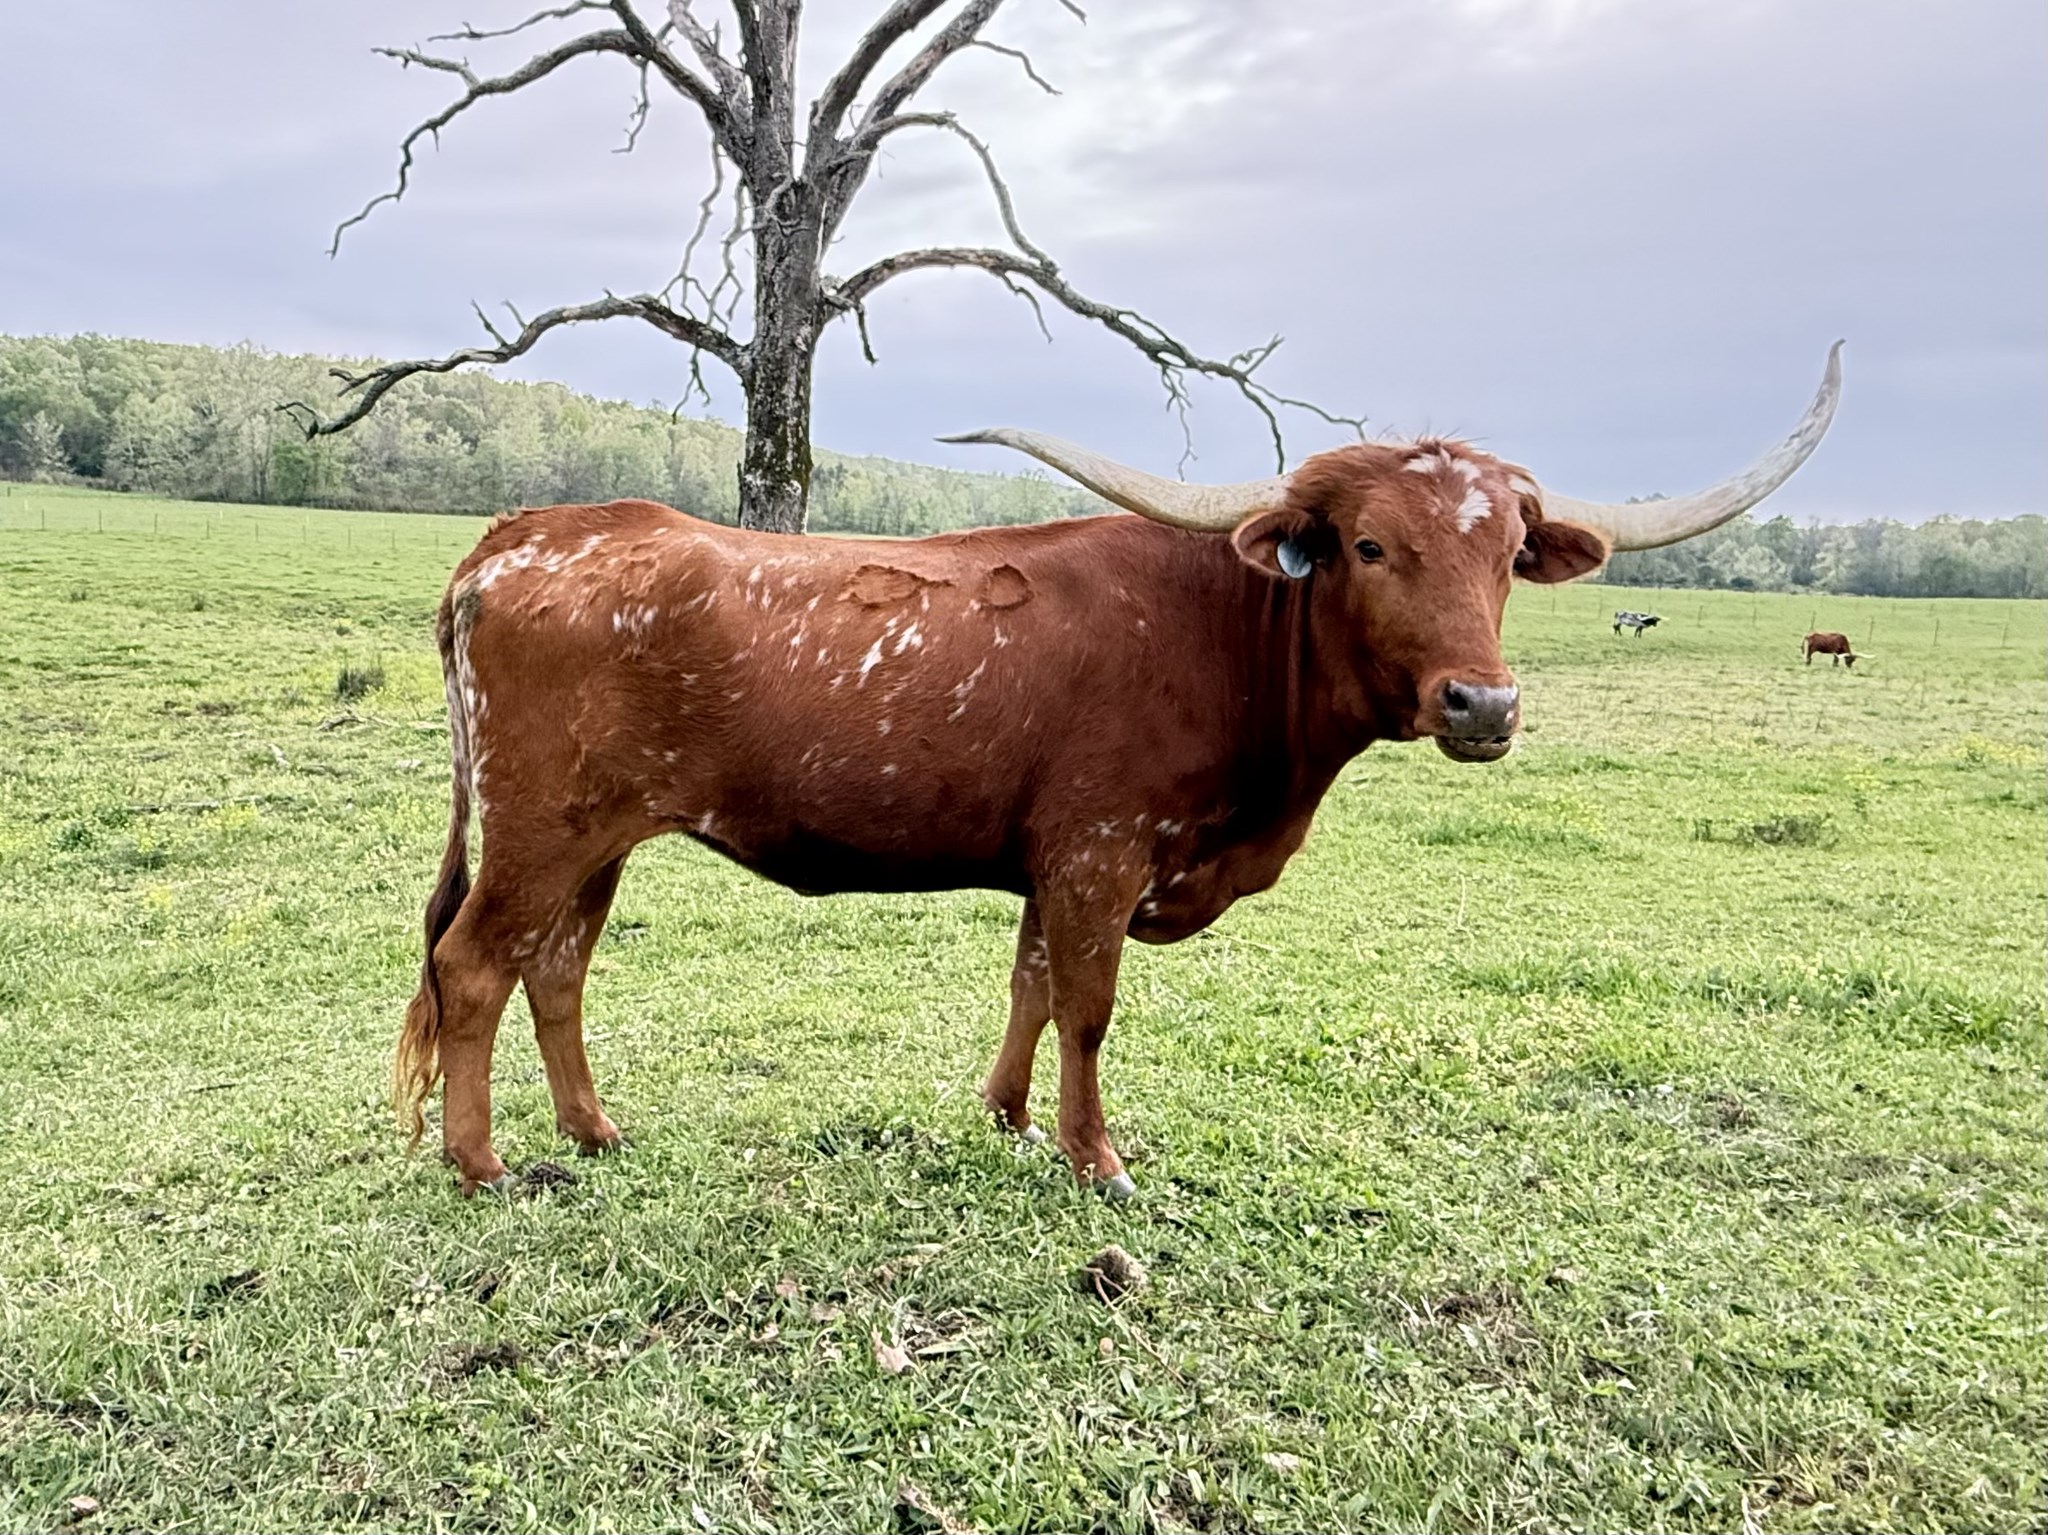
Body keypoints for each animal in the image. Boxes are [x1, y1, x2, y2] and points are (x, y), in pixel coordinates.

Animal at [398, 345, 1842, 1199]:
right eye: (1370, 545)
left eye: (1503, 552)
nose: (1481, 702)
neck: (1217, 627)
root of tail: (525, 535)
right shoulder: (1100, 847)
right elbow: (1087, 1005)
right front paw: (1096, 1156)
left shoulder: (1054, 859)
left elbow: (1032, 983)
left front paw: (1008, 1118)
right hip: (538, 828)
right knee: (473, 967)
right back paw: (483, 1163)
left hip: (596, 838)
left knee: (554, 970)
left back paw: (594, 1131)